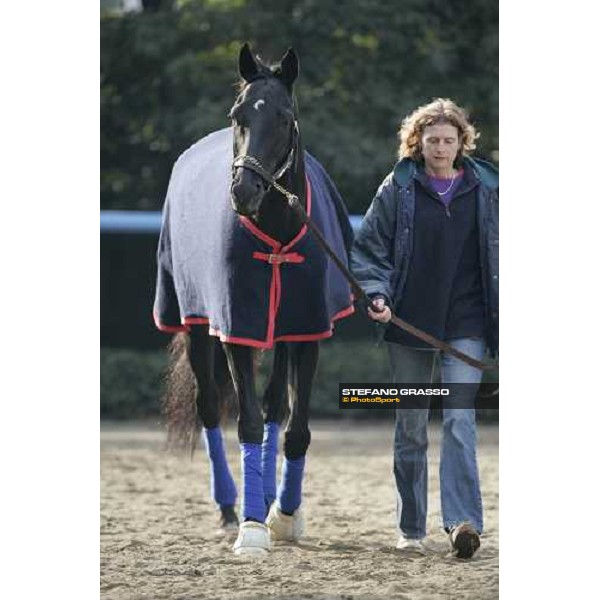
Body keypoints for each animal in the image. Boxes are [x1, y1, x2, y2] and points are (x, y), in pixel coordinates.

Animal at [154, 44, 356, 556]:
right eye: (238, 115)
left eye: (285, 118)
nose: (243, 192)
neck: (277, 230)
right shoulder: (236, 328)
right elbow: (244, 421)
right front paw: (250, 528)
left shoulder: (306, 330)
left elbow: (295, 428)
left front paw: (283, 514)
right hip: (195, 324)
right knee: (209, 407)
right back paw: (231, 505)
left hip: (281, 331)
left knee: (275, 407)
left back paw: (264, 495)